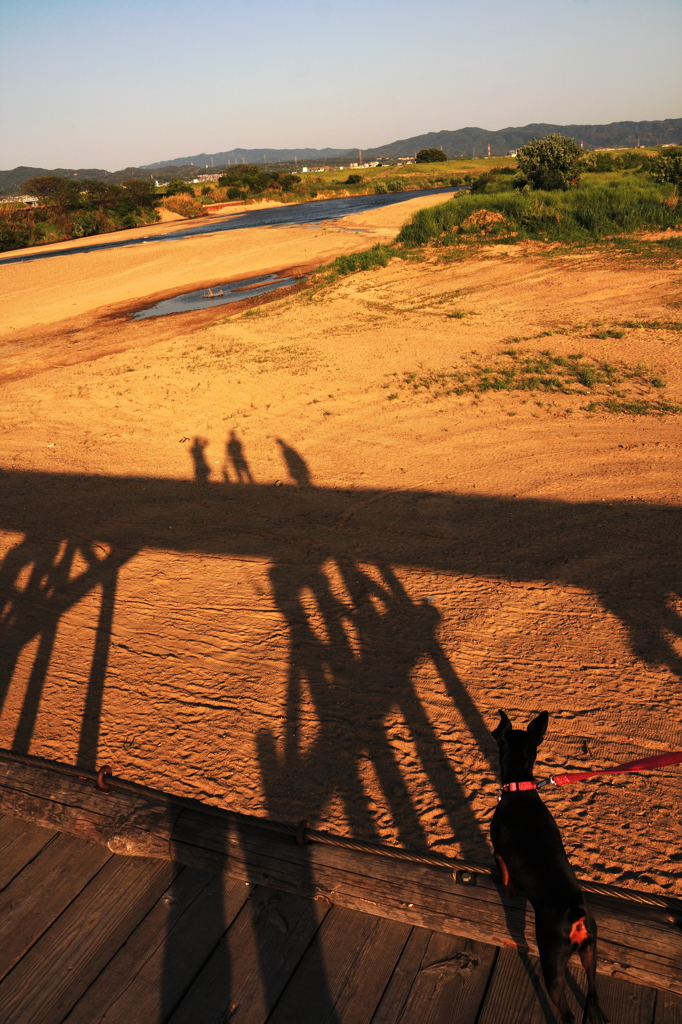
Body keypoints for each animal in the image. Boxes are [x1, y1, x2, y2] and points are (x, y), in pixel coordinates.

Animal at [489, 708, 610, 1024]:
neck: (520, 790)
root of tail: (575, 914)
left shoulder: (499, 852)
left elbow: (505, 874)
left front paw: (507, 890)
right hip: (591, 951)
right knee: (593, 995)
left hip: (552, 965)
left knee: (567, 1014)